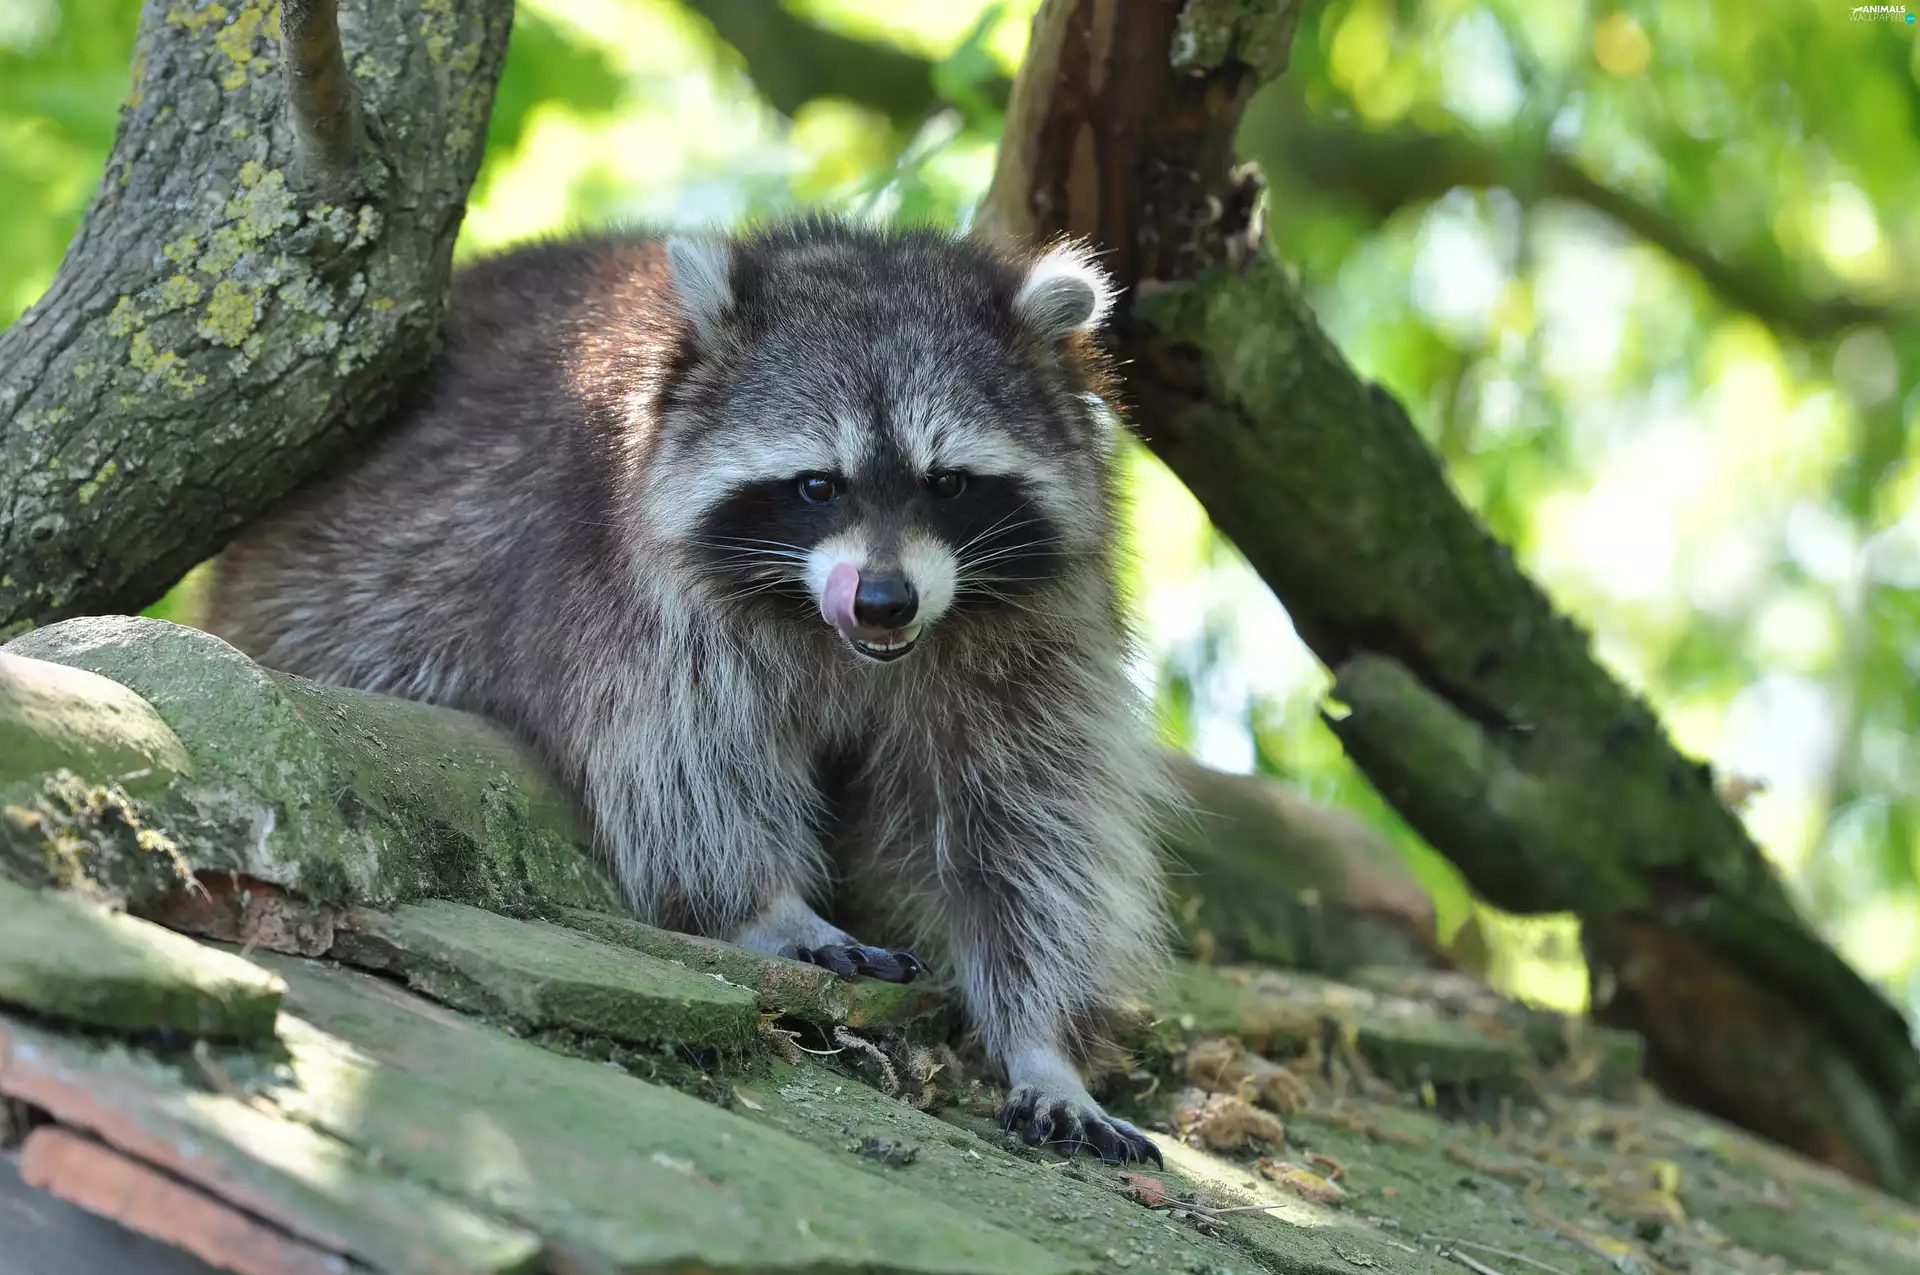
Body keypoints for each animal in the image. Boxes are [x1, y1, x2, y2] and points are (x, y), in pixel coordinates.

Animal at [207, 216, 1175, 1164]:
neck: (849, 645)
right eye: (818, 485)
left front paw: (1044, 1043)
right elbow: (680, 766)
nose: (884, 599)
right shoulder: (623, 584)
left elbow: (1029, 832)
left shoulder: (1033, 639)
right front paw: (767, 906)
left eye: (948, 483)